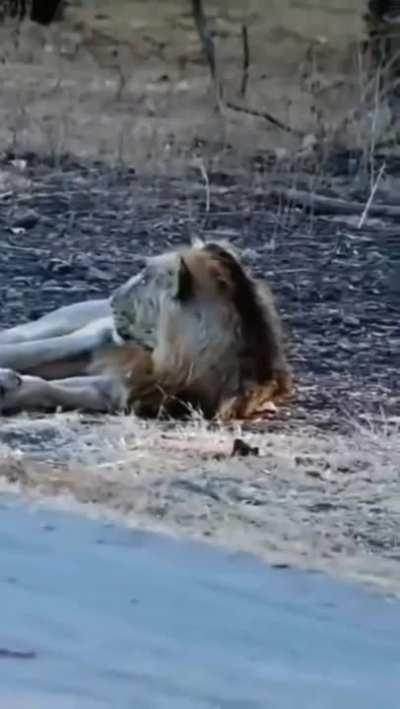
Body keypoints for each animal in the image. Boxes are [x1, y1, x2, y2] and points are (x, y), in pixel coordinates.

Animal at [0, 240, 292, 419]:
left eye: (143, 280)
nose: (112, 298)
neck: (167, 358)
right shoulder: (99, 338)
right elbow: (31, 352)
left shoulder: (120, 391)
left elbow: (47, 388)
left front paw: (11, 389)